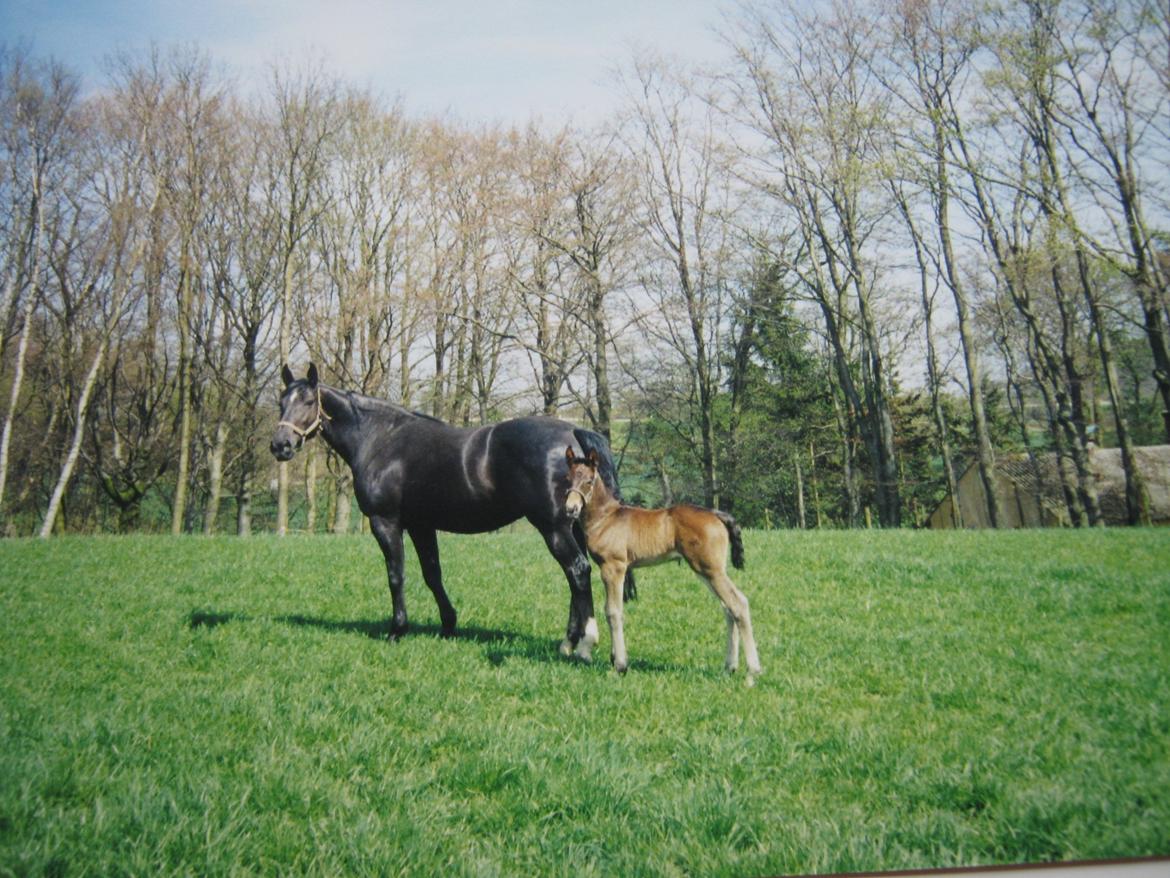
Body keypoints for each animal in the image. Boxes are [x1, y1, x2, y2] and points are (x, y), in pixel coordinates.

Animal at [269, 365, 627, 660]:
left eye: (308, 401)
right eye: (281, 402)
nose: (280, 445)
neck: (380, 439)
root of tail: (571, 433)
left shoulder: (386, 523)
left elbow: (396, 575)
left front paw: (397, 630)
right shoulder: (421, 525)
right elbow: (432, 574)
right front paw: (448, 625)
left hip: (552, 527)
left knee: (577, 571)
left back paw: (582, 644)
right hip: (569, 525)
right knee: (576, 576)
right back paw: (569, 641)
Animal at [563, 449, 762, 683]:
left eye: (588, 481)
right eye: (568, 479)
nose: (570, 509)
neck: (606, 518)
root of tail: (716, 515)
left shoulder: (613, 567)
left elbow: (613, 611)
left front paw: (620, 665)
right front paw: (615, 659)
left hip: (712, 570)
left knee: (738, 604)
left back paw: (752, 671)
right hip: (705, 571)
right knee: (728, 607)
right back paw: (730, 666)